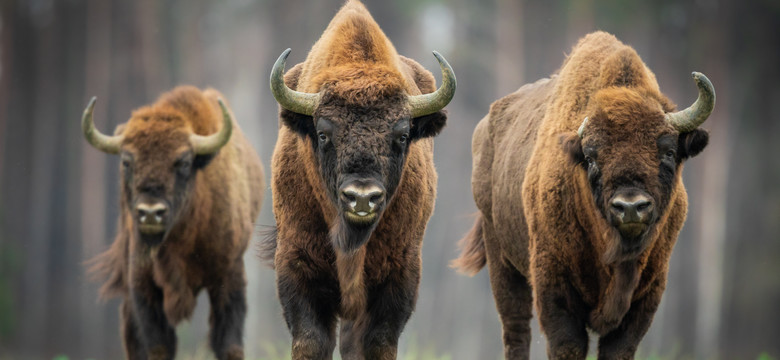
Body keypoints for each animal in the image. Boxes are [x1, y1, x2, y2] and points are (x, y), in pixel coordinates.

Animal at [84, 86, 264, 360]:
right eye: (127, 162)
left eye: (184, 163)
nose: (150, 213)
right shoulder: (142, 284)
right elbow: (158, 345)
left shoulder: (229, 275)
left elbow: (229, 345)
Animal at [264, 1, 454, 358]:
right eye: (323, 134)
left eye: (402, 135)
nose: (362, 197)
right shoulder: (297, 264)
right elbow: (311, 339)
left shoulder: (399, 274)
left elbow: (378, 341)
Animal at [454, 31, 716, 360]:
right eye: (591, 157)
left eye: (668, 152)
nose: (631, 207)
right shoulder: (555, 286)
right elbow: (567, 344)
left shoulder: (648, 294)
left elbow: (619, 348)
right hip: (502, 261)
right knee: (516, 329)